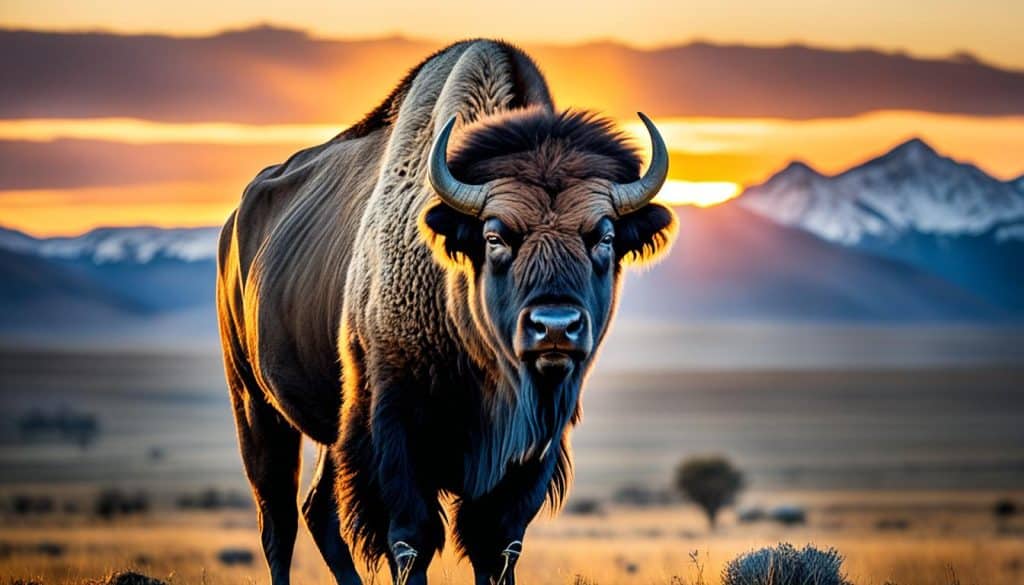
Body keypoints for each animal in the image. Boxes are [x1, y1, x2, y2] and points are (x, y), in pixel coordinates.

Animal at [217, 39, 676, 585]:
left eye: (604, 236)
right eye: (495, 235)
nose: (555, 328)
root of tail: (235, 223)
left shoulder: (532, 450)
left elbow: (496, 544)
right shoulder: (396, 431)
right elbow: (410, 539)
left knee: (317, 511)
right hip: (255, 404)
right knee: (278, 521)